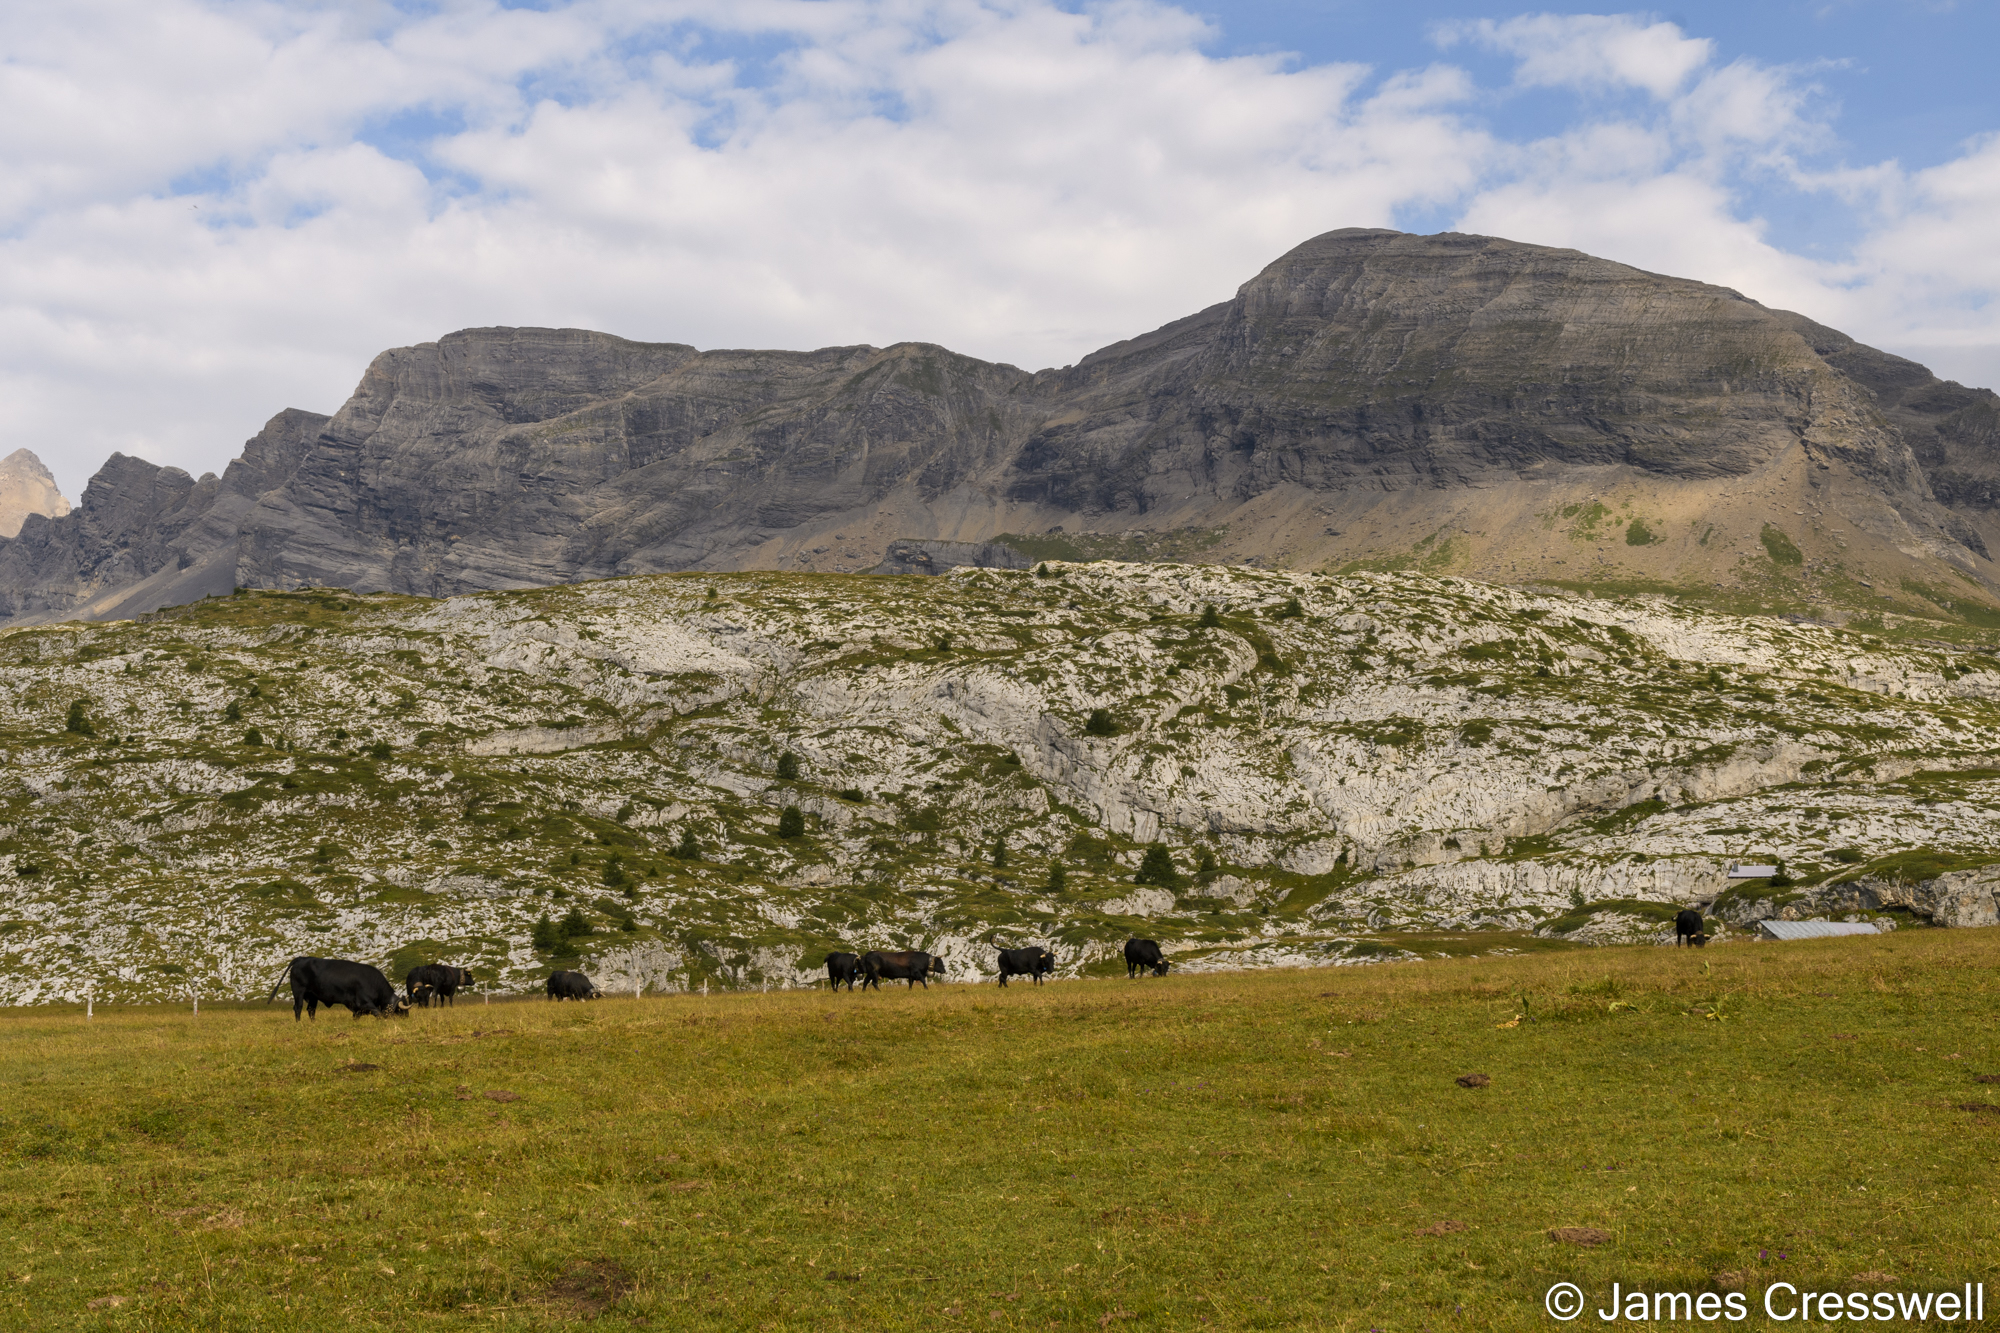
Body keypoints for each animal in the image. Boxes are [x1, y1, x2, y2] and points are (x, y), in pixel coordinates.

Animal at [265, 957, 408, 1021]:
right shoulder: (364, 1002)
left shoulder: (357, 1008)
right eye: (401, 1010)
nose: (406, 1020)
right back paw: (299, 1023)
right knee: (298, 1008)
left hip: (313, 996)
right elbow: (378, 1013)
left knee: (311, 1010)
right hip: (298, 992)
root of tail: (302, 958)